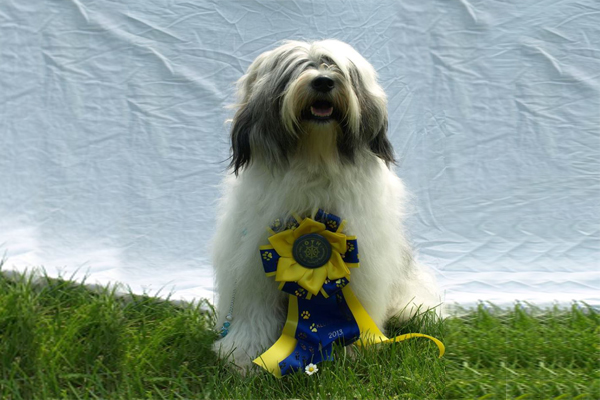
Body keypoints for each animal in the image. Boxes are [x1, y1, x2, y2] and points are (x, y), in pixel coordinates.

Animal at [211, 39, 440, 372]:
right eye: (297, 68)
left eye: (336, 67)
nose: (323, 81)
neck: (315, 158)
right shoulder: (255, 260)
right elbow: (254, 312)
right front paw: (244, 354)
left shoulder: (361, 256)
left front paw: (355, 349)